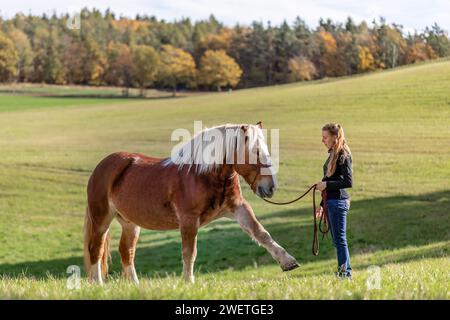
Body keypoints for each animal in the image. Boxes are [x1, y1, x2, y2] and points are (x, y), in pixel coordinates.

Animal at [84, 122, 298, 284]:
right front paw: (188, 282)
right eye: (255, 152)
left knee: (126, 251)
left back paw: (135, 286)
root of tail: (102, 166)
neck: (202, 174)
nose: (270, 187)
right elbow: (189, 252)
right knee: (96, 249)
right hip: (102, 219)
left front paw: (287, 261)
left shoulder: (238, 209)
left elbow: (261, 233)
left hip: (130, 223)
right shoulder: (188, 220)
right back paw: (98, 285)